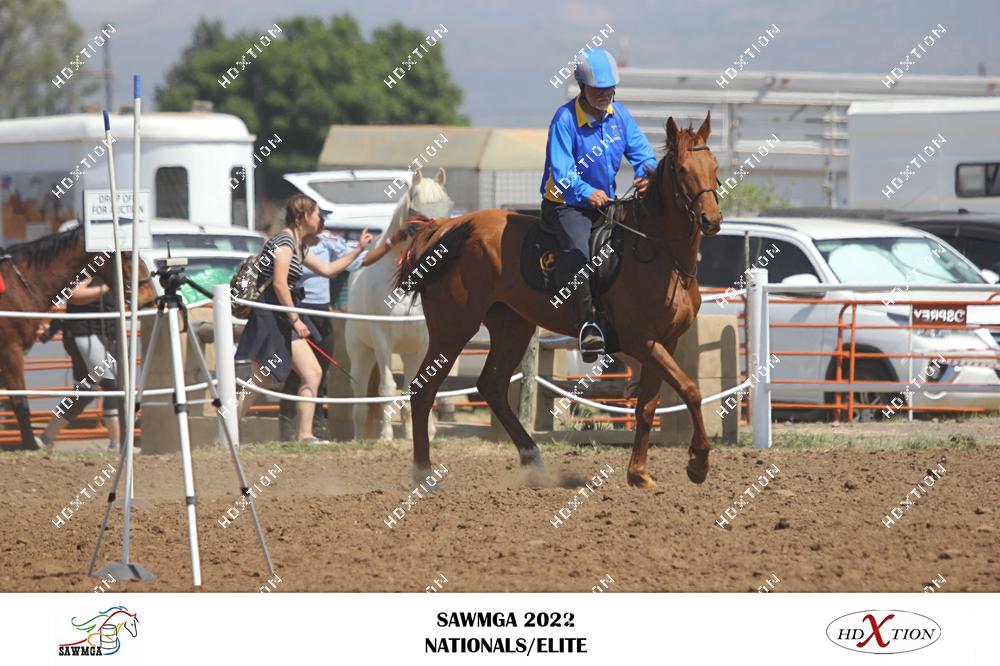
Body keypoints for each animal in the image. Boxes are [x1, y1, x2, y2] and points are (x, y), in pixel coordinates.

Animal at [0, 226, 154, 449]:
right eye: (126, 255)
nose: (149, 297)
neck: (19, 286)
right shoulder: (10, 349)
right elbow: (20, 401)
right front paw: (30, 444)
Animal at [344, 168, 453, 440]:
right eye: (414, 208)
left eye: (448, 206)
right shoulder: (382, 339)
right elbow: (386, 389)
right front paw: (386, 435)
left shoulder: (423, 343)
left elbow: (415, 389)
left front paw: (421, 434)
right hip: (361, 353)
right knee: (360, 397)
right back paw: (359, 437)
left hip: (407, 353)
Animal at [396, 114, 722, 488]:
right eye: (682, 170)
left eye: (714, 166)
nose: (712, 219)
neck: (658, 254)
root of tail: (448, 228)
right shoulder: (643, 341)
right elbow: (691, 390)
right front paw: (698, 463)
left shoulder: (665, 341)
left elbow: (647, 407)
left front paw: (639, 474)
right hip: (452, 330)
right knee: (423, 390)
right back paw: (424, 472)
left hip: (512, 327)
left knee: (491, 386)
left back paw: (532, 458)